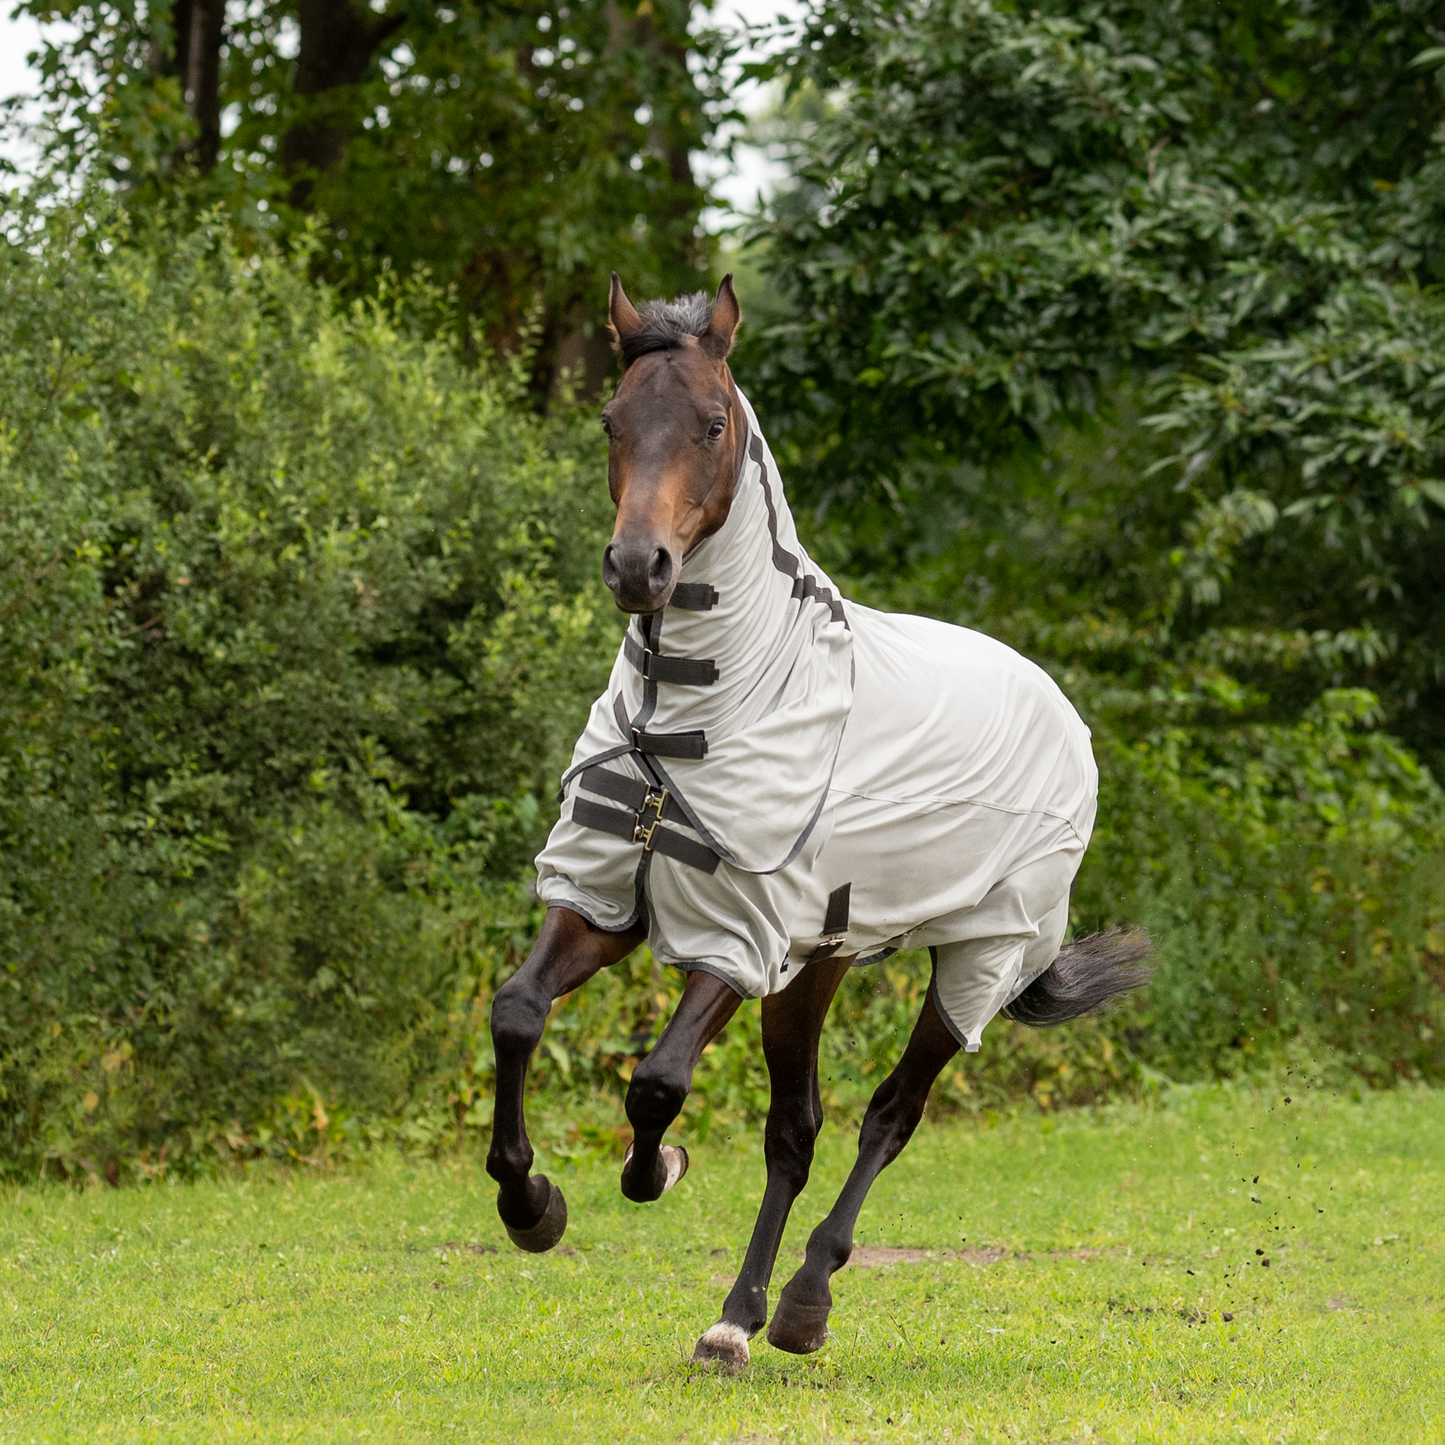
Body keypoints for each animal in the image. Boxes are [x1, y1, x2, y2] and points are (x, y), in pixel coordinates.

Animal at [488, 275, 1150, 1369]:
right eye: (612, 421)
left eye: (712, 424)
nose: (638, 567)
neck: (691, 717)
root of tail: (1057, 705)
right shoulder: (603, 901)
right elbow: (516, 1011)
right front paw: (531, 1203)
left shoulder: (733, 938)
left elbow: (656, 1081)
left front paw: (654, 1167)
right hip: (817, 964)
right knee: (793, 1132)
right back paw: (735, 1317)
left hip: (975, 957)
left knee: (890, 1115)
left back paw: (801, 1301)